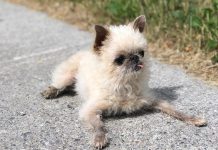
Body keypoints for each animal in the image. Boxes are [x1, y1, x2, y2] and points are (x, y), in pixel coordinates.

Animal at [41, 15, 207, 149]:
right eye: (119, 59)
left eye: (141, 53)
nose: (135, 58)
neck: (126, 83)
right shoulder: (90, 111)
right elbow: (99, 126)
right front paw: (99, 139)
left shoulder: (153, 101)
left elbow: (175, 110)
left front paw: (193, 119)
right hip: (67, 76)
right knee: (59, 83)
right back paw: (51, 91)